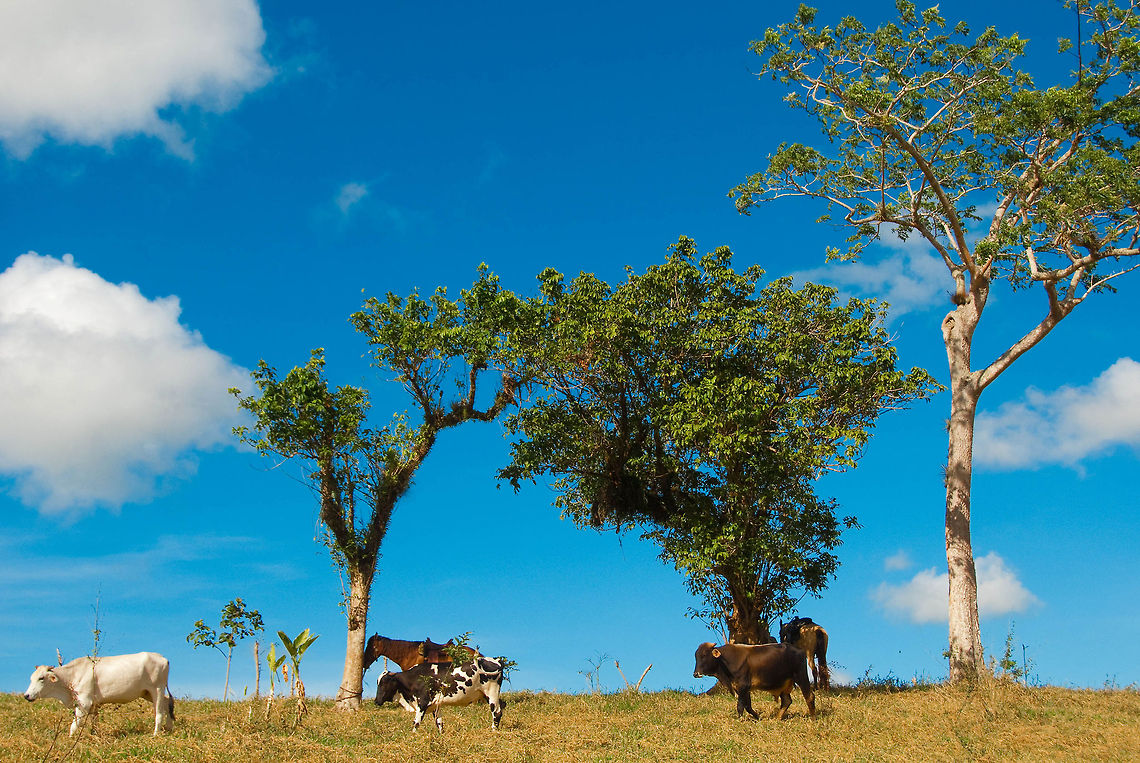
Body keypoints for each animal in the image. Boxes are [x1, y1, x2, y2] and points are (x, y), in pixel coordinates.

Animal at [23, 652, 175, 736]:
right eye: (31, 678)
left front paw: (70, 739)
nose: (27, 695)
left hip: (157, 689)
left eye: (41, 678)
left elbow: (75, 724)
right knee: (167, 703)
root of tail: (162, 658)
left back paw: (155, 734)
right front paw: (94, 734)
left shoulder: (84, 702)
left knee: (159, 712)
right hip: (147, 693)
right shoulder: (94, 704)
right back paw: (169, 728)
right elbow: (94, 722)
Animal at [374, 656, 506, 733]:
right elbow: (439, 723)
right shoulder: (435, 705)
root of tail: (496, 659)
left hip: (491, 693)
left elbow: (416, 723)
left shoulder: (422, 702)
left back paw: (493, 731)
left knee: (497, 712)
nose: (376, 701)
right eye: (377, 682)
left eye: (384, 682)